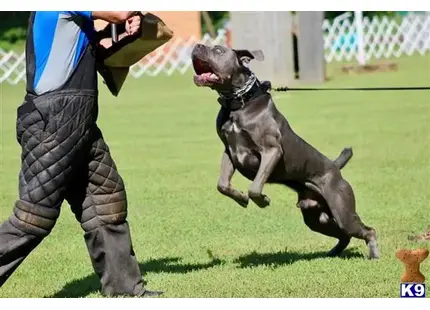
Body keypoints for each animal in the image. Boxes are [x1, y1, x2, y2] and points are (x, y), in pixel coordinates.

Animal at [191, 42, 380, 258]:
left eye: (218, 50)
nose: (196, 46)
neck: (239, 104)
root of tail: (335, 167)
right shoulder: (229, 151)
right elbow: (222, 185)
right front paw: (241, 198)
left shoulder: (271, 151)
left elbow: (255, 187)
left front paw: (263, 200)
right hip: (315, 217)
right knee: (343, 234)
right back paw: (332, 252)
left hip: (342, 209)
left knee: (366, 230)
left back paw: (374, 255)